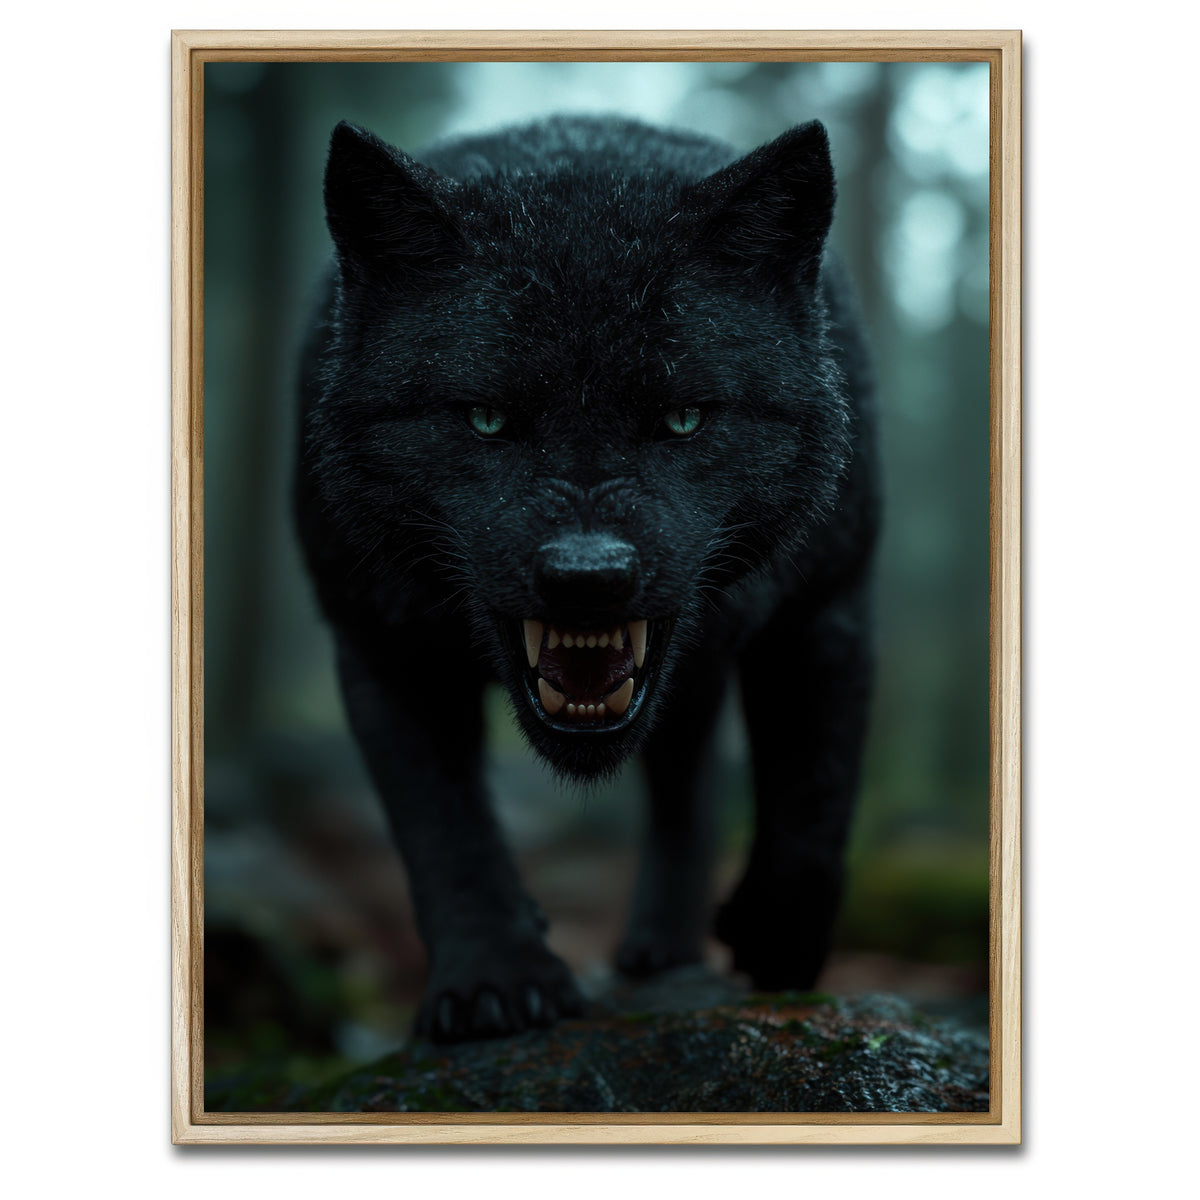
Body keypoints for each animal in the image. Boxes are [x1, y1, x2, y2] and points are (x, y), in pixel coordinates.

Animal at [295, 115, 879, 1042]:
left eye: (682, 417)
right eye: (486, 418)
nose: (587, 575)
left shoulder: (828, 603)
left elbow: (816, 789)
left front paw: (779, 943)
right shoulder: (380, 642)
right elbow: (442, 825)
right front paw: (496, 982)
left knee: (689, 789)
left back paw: (665, 951)